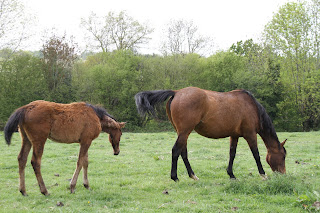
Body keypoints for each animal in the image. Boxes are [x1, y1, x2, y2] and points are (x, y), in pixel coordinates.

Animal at [135, 86, 288, 181]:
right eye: (283, 156)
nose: (283, 174)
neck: (252, 107)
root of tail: (177, 92)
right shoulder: (250, 134)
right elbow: (256, 154)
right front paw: (263, 175)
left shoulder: (234, 135)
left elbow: (232, 154)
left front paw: (231, 175)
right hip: (184, 132)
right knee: (176, 151)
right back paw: (175, 177)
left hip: (182, 132)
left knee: (183, 152)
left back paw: (192, 175)